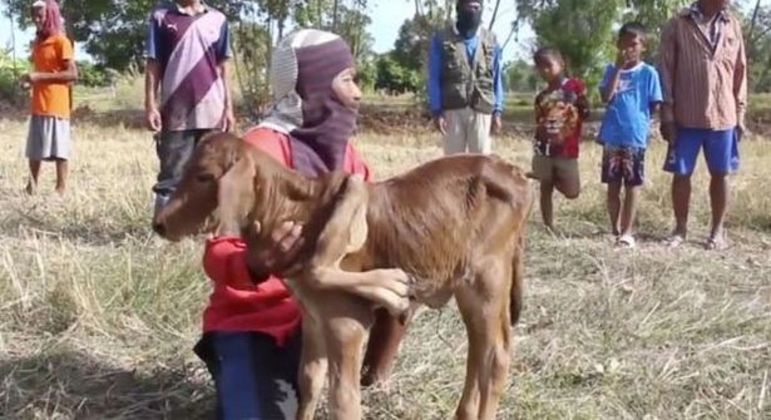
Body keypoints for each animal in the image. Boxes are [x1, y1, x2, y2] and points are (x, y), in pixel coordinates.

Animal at [154, 133, 532, 418]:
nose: (160, 223)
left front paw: (390, 287)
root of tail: (513, 172)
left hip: (487, 278)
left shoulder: (344, 323)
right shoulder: (313, 318)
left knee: (496, 355)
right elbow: (309, 380)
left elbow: (344, 402)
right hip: (471, 288)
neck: (296, 211)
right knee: (478, 352)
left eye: (204, 176)